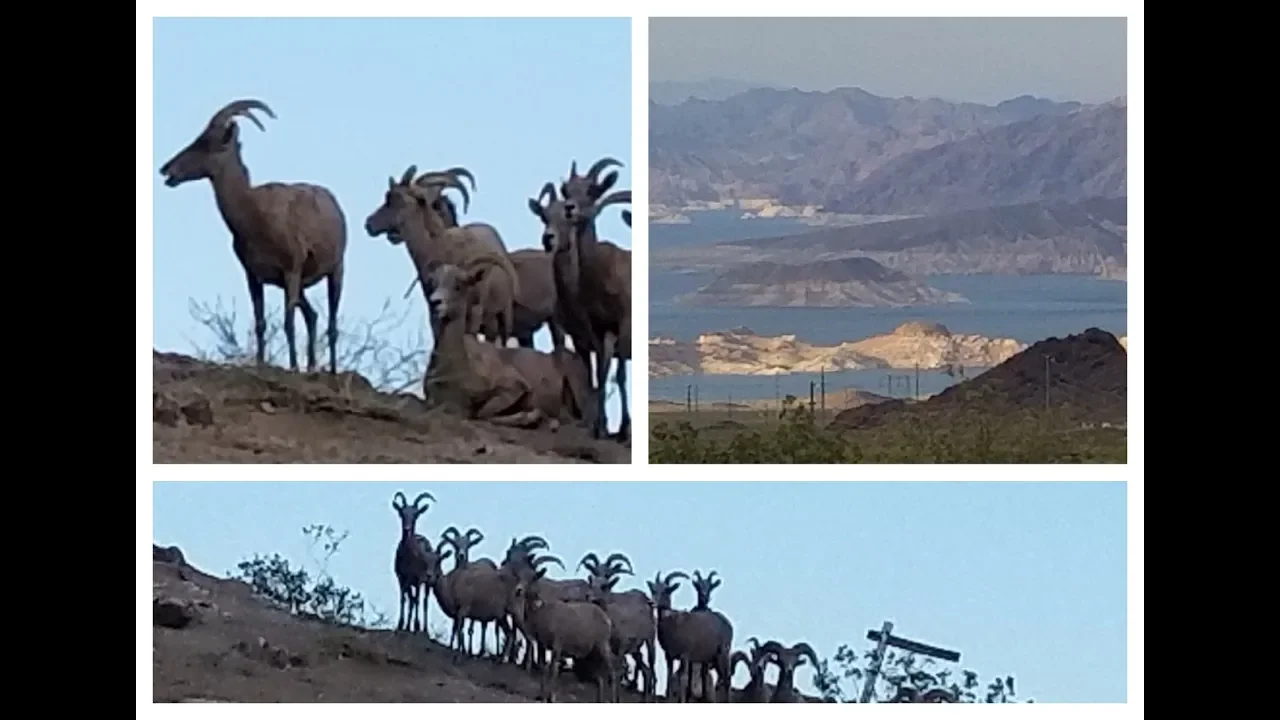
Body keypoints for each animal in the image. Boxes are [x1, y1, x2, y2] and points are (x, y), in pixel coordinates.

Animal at [158, 97, 348, 371]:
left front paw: (292, 367)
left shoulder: (291, 270)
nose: (166, 170)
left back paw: (330, 370)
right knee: (312, 315)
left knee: (331, 323)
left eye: (206, 142)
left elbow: (288, 322)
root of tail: (334, 204)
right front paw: (261, 363)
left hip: (336, 269)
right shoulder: (253, 275)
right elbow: (260, 323)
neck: (254, 218)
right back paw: (312, 367)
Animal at [389, 486, 435, 632]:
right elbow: (404, 599)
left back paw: (423, 628)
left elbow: (418, 600)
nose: (407, 529)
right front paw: (401, 624)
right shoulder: (401, 578)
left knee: (424, 601)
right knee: (412, 600)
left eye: (416, 514)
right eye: (401, 513)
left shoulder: (418, 578)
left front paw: (416, 625)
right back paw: (409, 626)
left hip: (427, 582)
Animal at [517, 563, 622, 696]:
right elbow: (543, 668)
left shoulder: (557, 646)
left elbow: (553, 670)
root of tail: (606, 618)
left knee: (611, 674)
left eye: (533, 578)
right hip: (593, 656)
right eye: (520, 576)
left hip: (602, 647)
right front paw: (541, 696)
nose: (519, 590)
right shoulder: (542, 645)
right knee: (600, 680)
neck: (543, 612)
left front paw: (551, 697)